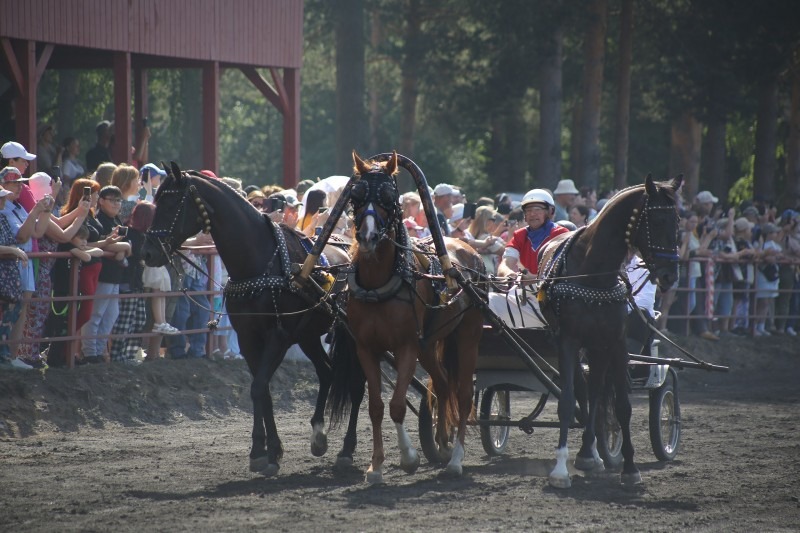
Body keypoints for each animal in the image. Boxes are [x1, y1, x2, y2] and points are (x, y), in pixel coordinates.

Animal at [141, 161, 362, 474]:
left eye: (172, 203)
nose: (148, 252)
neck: (260, 263)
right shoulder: (248, 338)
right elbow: (261, 389)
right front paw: (264, 450)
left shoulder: (278, 336)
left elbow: (259, 387)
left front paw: (268, 451)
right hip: (307, 335)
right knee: (327, 371)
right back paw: (318, 435)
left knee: (357, 385)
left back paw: (347, 449)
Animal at [326, 150, 484, 482]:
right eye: (356, 195)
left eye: (389, 195)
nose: (368, 235)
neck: (379, 284)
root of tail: (470, 252)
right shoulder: (367, 348)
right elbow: (375, 406)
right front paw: (375, 466)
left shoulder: (407, 346)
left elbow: (397, 404)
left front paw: (409, 457)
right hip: (429, 345)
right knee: (443, 384)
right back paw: (443, 444)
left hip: (467, 335)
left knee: (464, 394)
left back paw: (456, 459)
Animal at [536, 174, 680, 486]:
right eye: (657, 221)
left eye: (677, 220)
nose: (669, 275)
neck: (594, 273)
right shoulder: (567, 340)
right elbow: (567, 400)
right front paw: (560, 469)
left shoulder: (616, 342)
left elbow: (622, 406)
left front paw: (630, 469)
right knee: (587, 391)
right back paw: (587, 454)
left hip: (598, 345)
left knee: (596, 392)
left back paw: (591, 454)